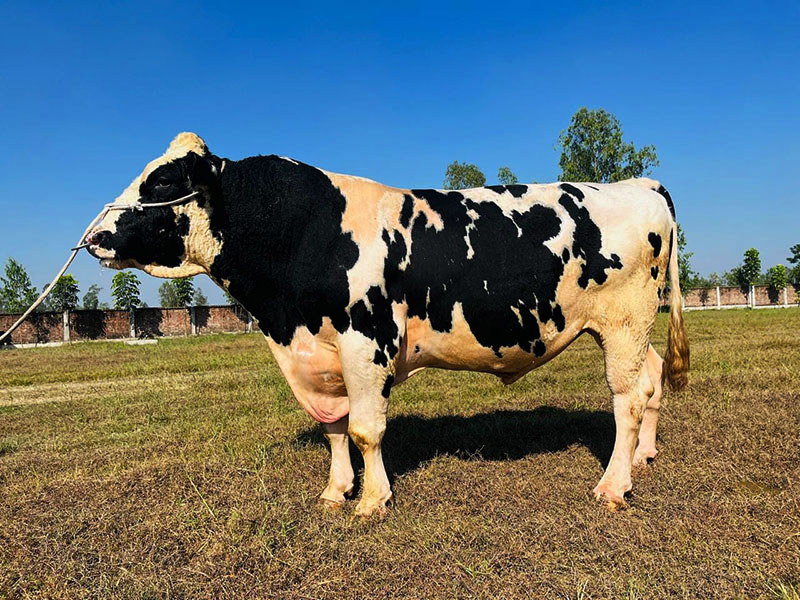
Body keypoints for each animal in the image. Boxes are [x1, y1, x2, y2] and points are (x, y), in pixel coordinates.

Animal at [85, 132, 689, 516]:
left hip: (624, 323)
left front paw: (373, 501)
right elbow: (333, 429)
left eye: (163, 183)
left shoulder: (365, 342)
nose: (94, 236)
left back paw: (613, 485)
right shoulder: (318, 355)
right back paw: (643, 457)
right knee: (652, 381)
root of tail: (638, 184)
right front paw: (336, 492)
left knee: (626, 399)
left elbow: (364, 429)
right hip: (634, 331)